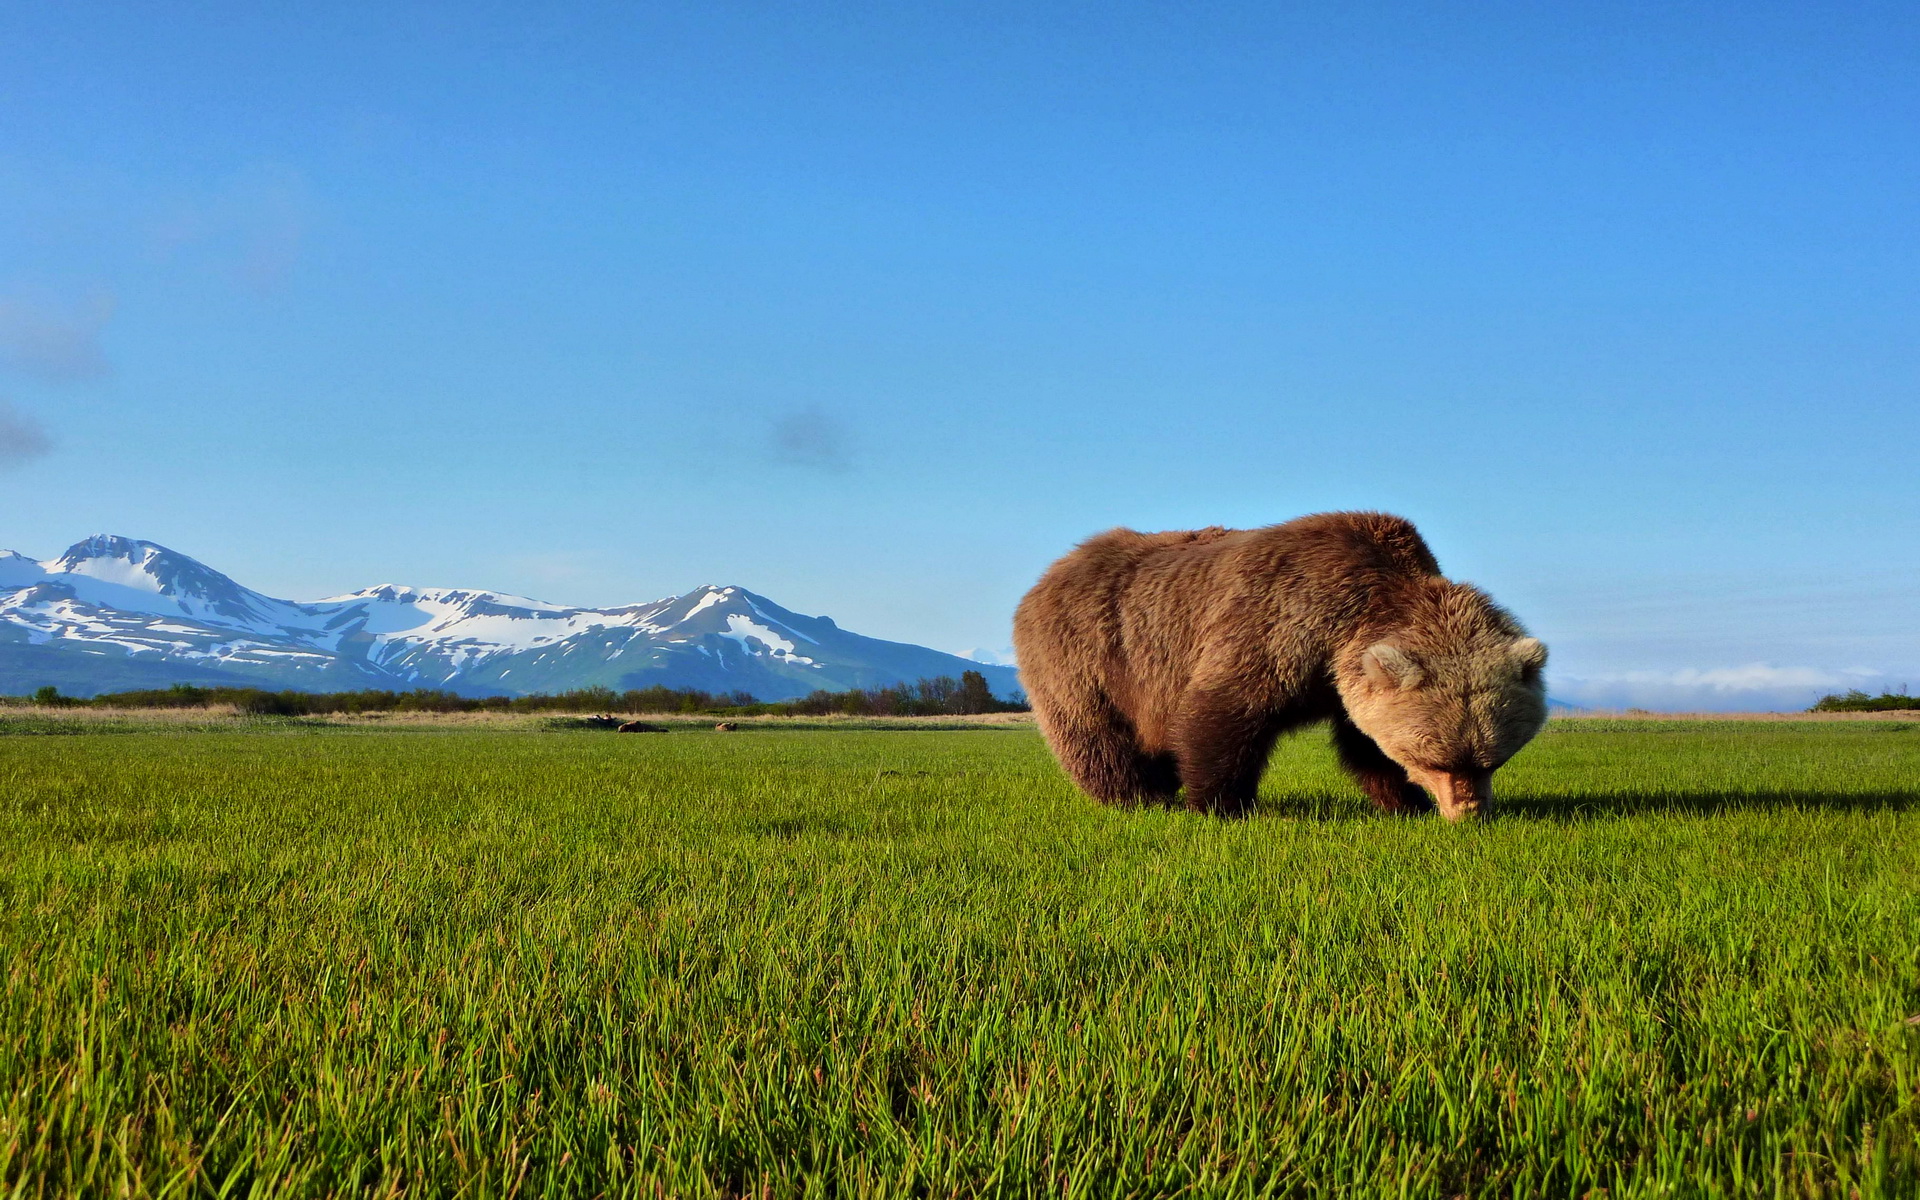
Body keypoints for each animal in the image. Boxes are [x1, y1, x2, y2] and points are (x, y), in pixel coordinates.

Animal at [1013, 510, 1551, 817]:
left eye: (1494, 758)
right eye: (1435, 757)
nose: (1470, 811)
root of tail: (1051, 572)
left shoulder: (1344, 678)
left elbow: (1365, 744)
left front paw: (1404, 802)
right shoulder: (1278, 623)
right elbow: (1224, 713)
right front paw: (1221, 805)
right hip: (1089, 656)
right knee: (1096, 736)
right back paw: (1139, 799)